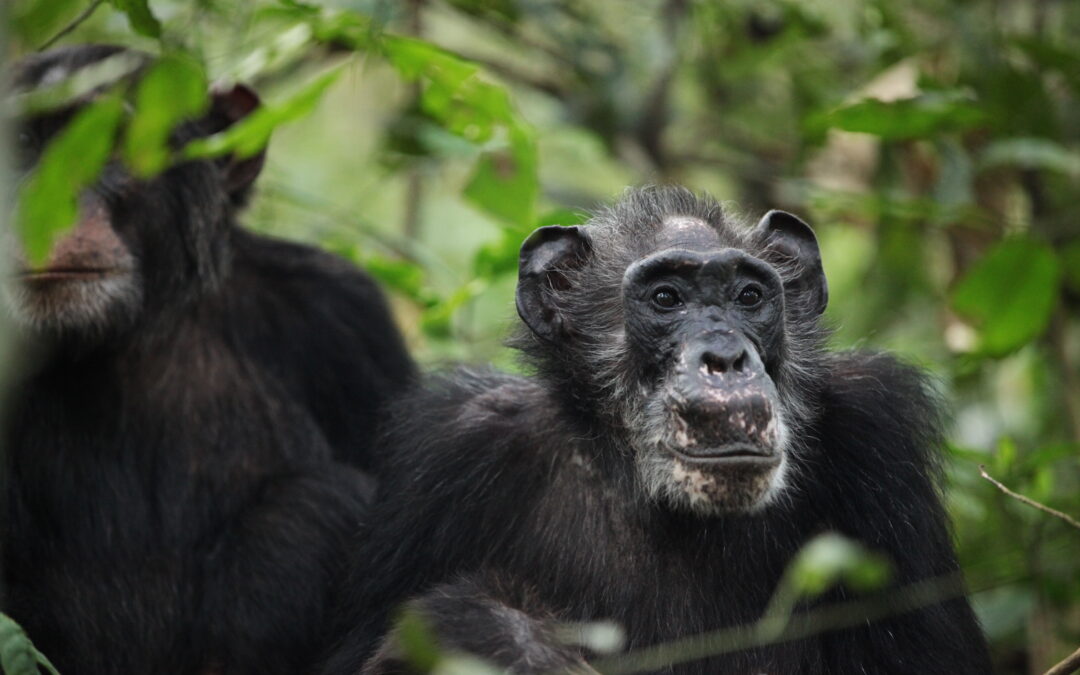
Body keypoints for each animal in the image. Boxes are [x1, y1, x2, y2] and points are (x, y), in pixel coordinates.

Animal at [317, 185, 989, 673]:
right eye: (667, 298)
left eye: (749, 296)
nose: (725, 356)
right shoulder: (449, 452)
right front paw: (501, 636)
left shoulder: (879, 438)